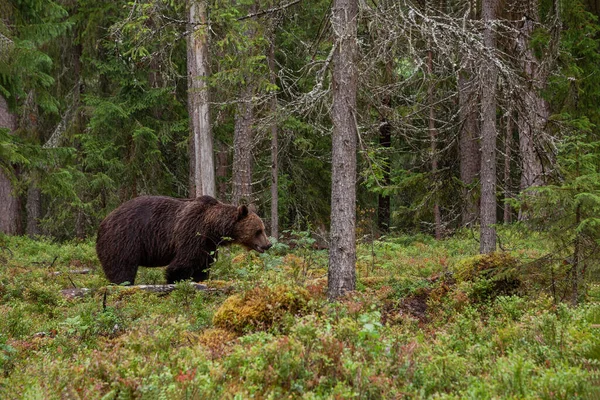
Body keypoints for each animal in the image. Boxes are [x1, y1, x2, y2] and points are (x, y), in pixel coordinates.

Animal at [96, 195, 272, 284]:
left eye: (263, 229)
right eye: (258, 231)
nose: (268, 244)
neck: (212, 227)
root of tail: (103, 222)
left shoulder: (208, 244)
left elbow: (203, 265)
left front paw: (200, 278)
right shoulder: (191, 232)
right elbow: (183, 263)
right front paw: (175, 280)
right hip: (125, 238)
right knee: (122, 267)